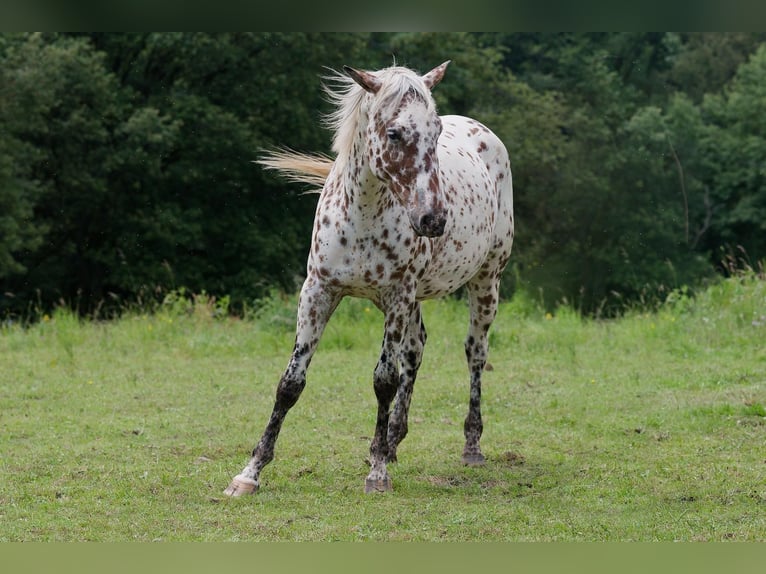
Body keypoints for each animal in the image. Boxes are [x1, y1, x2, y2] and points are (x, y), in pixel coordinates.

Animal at [226, 60, 516, 498]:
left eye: (435, 132)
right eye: (394, 133)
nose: (433, 220)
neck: (362, 214)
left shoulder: (396, 296)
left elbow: (384, 380)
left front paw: (377, 473)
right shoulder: (318, 291)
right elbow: (290, 382)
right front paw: (250, 472)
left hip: (485, 281)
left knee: (475, 353)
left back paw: (470, 446)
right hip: (413, 300)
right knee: (415, 350)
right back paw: (394, 440)